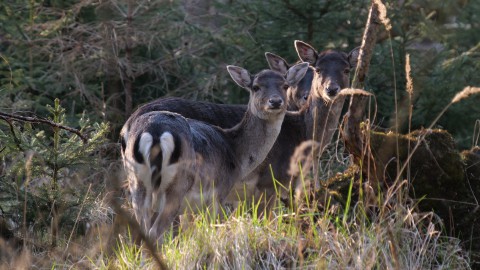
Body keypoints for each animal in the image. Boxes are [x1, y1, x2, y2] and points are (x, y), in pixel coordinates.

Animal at [120, 63, 308, 243]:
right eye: (255, 87)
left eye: (285, 85)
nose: (275, 101)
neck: (236, 153)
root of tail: (155, 133)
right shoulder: (219, 194)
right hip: (176, 187)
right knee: (154, 232)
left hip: (136, 183)